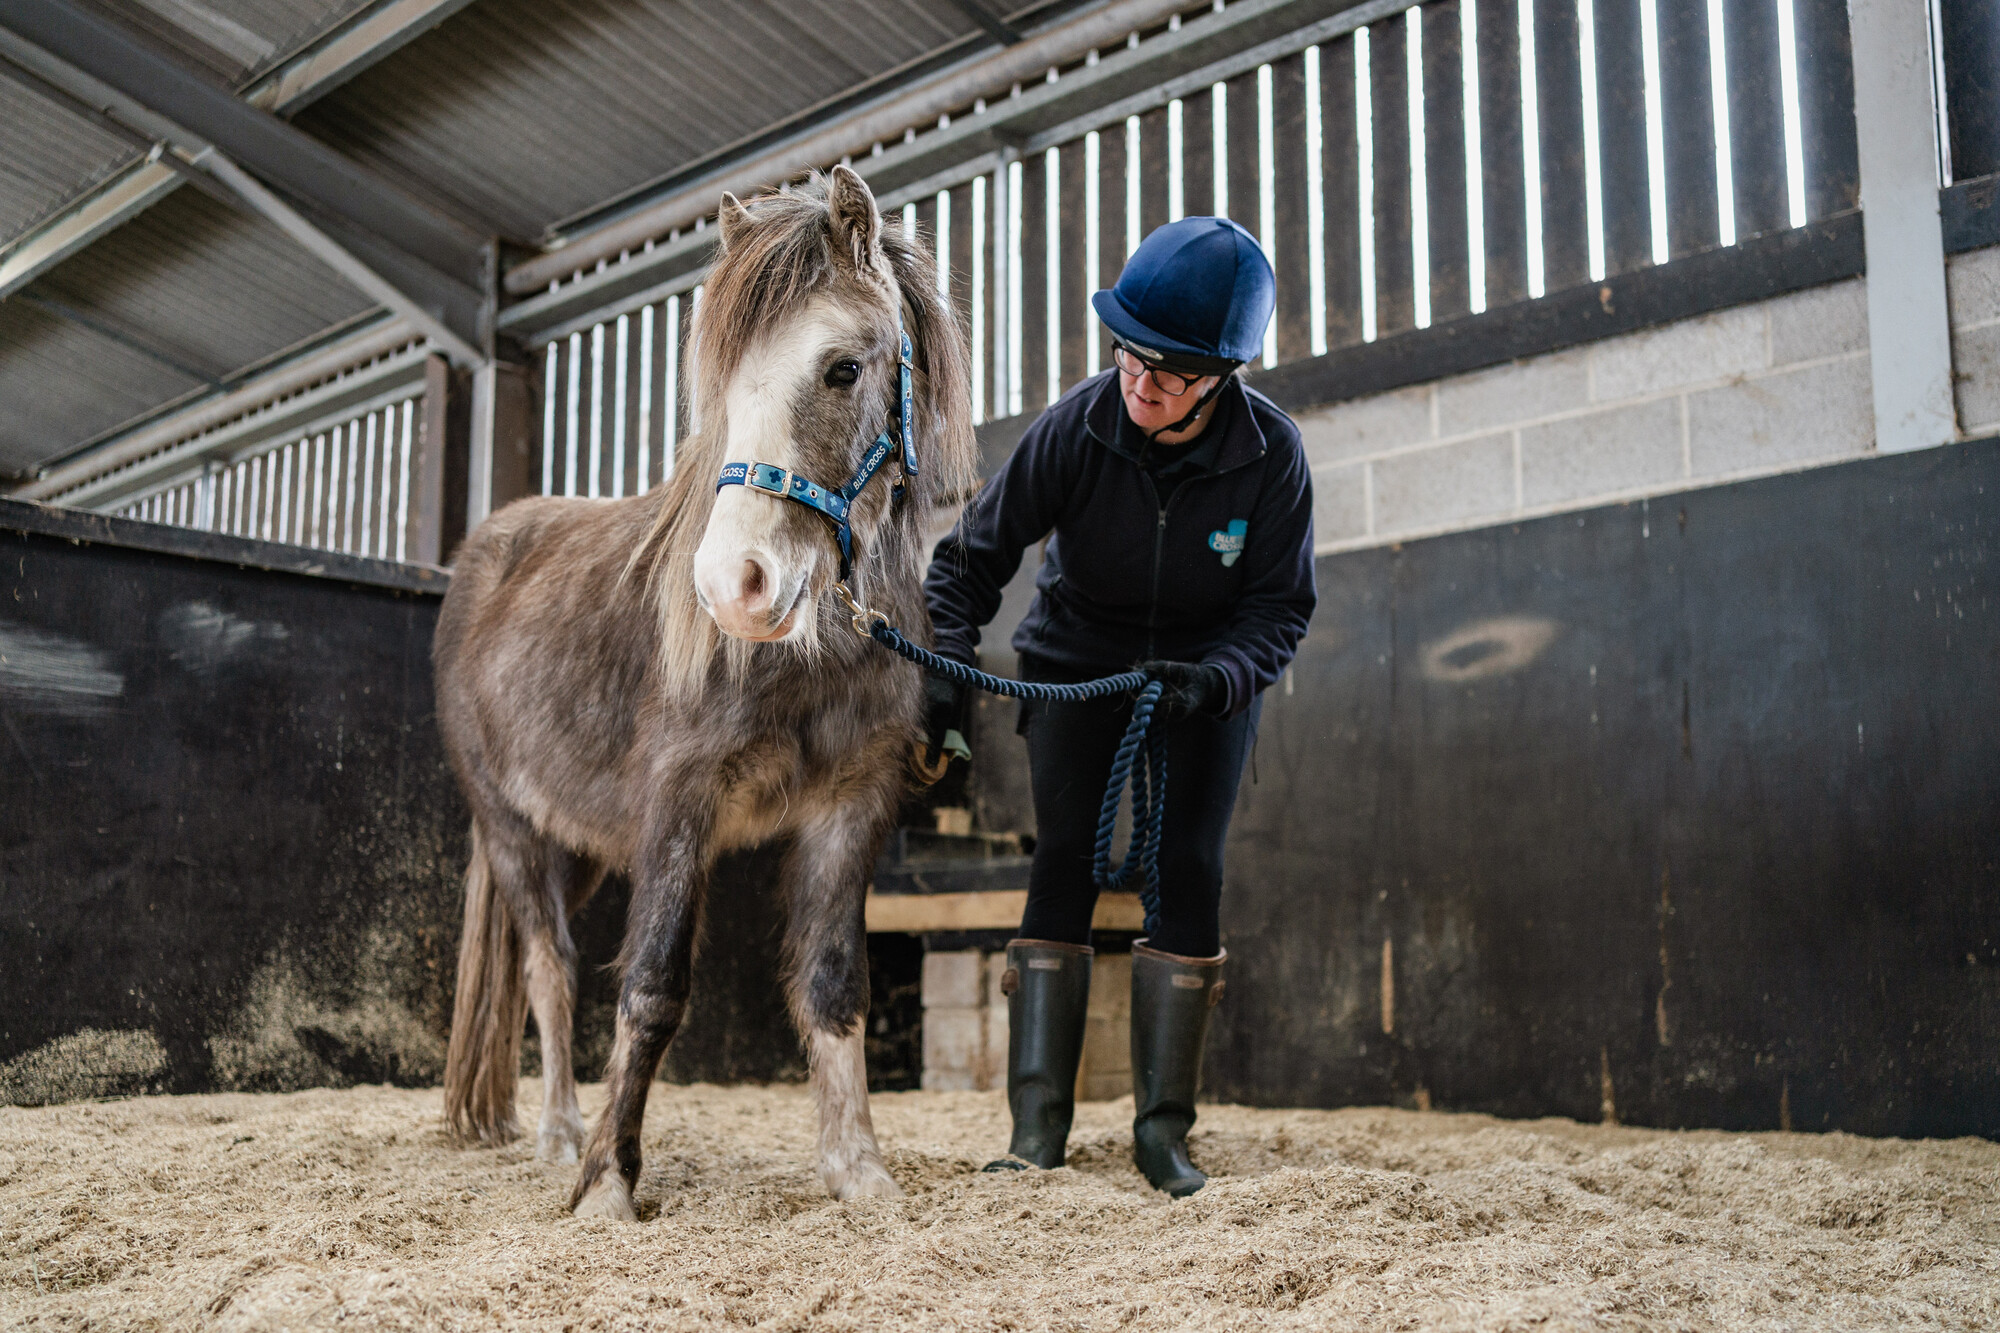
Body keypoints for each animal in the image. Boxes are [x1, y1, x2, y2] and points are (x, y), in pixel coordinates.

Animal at [432, 166, 977, 1219]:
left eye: (842, 369)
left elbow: (834, 984)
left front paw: (860, 1171)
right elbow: (649, 985)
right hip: (512, 829)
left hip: (583, 841)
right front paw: (609, 1182)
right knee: (549, 969)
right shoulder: (678, 801)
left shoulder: (852, 807)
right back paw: (562, 1137)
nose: (734, 588)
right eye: (725, 388)